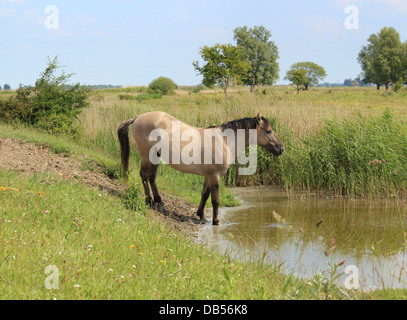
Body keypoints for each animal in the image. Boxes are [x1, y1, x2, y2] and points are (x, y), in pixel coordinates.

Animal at [117, 111, 284, 226]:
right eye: (269, 131)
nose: (281, 149)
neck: (224, 142)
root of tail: (137, 118)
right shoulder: (215, 176)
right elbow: (215, 200)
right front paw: (216, 221)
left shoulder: (208, 176)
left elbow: (204, 195)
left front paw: (201, 215)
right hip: (147, 156)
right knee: (144, 176)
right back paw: (149, 201)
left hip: (155, 157)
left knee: (152, 177)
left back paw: (160, 202)